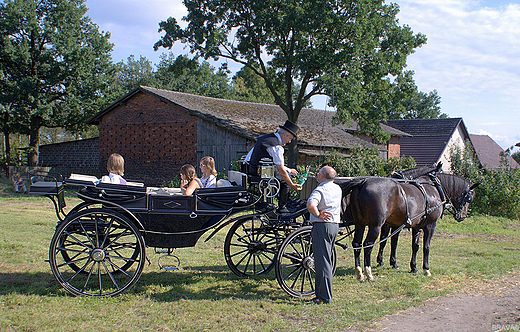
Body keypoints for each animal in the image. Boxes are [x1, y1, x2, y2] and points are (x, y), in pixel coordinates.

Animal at [338, 172, 480, 282]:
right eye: (469, 198)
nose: (462, 216)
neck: (434, 189)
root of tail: (363, 182)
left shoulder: (417, 226)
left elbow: (415, 246)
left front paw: (414, 267)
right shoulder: (430, 225)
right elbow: (426, 247)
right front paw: (426, 269)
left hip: (360, 223)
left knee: (357, 244)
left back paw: (359, 272)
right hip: (375, 225)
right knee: (368, 245)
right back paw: (368, 273)